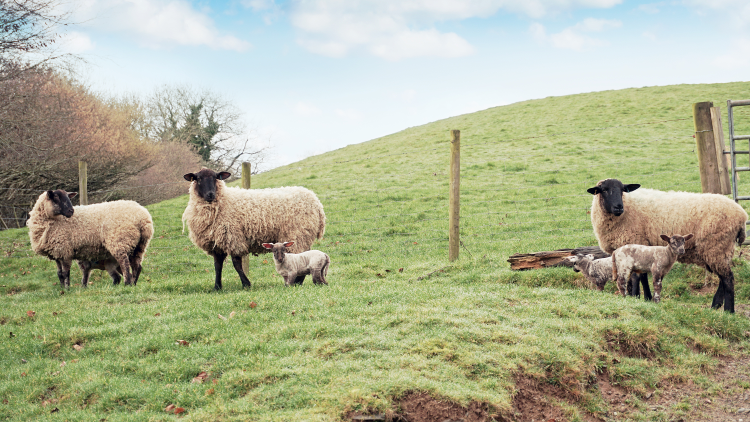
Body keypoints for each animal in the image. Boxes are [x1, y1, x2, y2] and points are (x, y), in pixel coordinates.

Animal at [26, 190, 154, 286]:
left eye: (68, 197)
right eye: (56, 197)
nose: (71, 211)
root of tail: (142, 216)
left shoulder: (66, 250)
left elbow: (66, 273)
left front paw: (67, 289)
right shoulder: (57, 253)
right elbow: (59, 273)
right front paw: (62, 288)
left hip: (119, 241)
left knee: (125, 264)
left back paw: (127, 283)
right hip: (140, 244)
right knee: (137, 266)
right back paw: (134, 283)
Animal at [184, 167, 328, 290]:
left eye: (216, 178)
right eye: (198, 178)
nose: (210, 194)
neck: (223, 200)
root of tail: (317, 203)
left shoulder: (233, 238)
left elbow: (236, 264)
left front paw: (246, 284)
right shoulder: (217, 244)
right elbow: (217, 266)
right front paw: (217, 287)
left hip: (297, 233)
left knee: (300, 257)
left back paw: (297, 282)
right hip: (302, 234)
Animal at [592, 178, 748, 314]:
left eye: (623, 190)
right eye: (604, 190)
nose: (619, 207)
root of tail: (742, 215)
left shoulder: (635, 242)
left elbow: (637, 277)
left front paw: (635, 297)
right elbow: (641, 276)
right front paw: (646, 298)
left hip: (716, 247)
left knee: (728, 279)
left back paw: (729, 311)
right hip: (721, 249)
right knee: (724, 278)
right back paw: (715, 306)